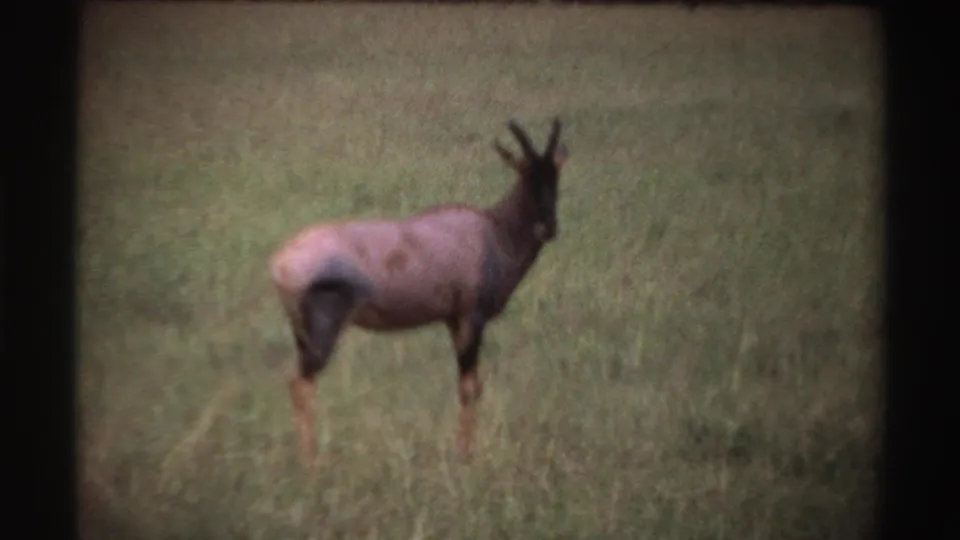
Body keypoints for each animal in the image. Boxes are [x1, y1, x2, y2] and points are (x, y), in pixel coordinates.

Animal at [269, 118, 568, 468]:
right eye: (525, 175)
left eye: (554, 176)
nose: (548, 228)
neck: (491, 231)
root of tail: (281, 262)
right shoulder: (471, 317)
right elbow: (469, 387)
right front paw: (464, 456)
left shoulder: (453, 320)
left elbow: (469, 385)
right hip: (323, 331)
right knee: (300, 384)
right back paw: (312, 463)